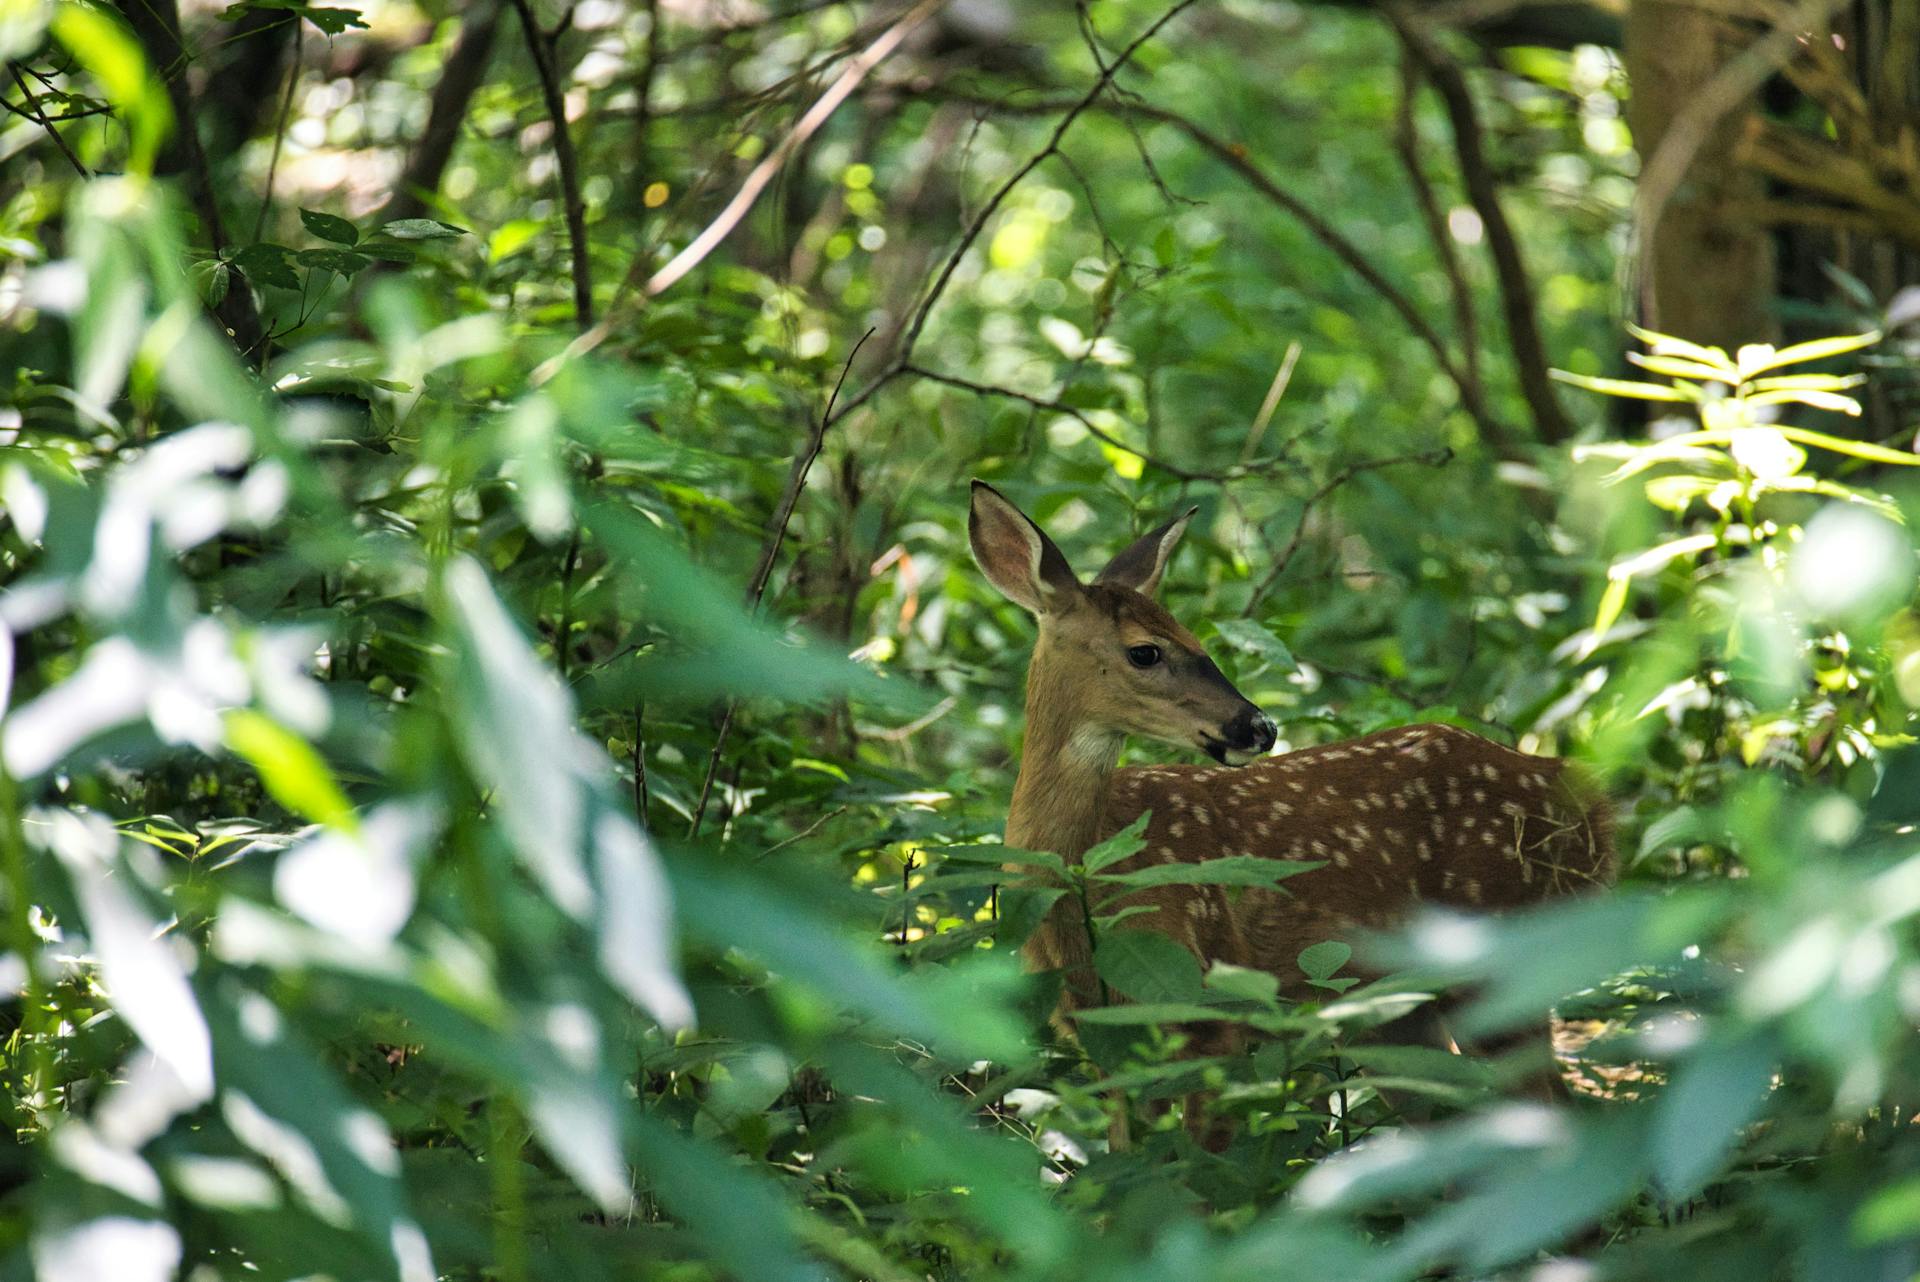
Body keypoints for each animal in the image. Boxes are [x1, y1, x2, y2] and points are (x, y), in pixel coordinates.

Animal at [967, 481, 1614, 1093]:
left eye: (1194, 634)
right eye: (1145, 651)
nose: (1260, 726)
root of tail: (1590, 806)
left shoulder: (1201, 999)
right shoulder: (1104, 1034)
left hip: (1499, 950)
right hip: (1398, 1007)